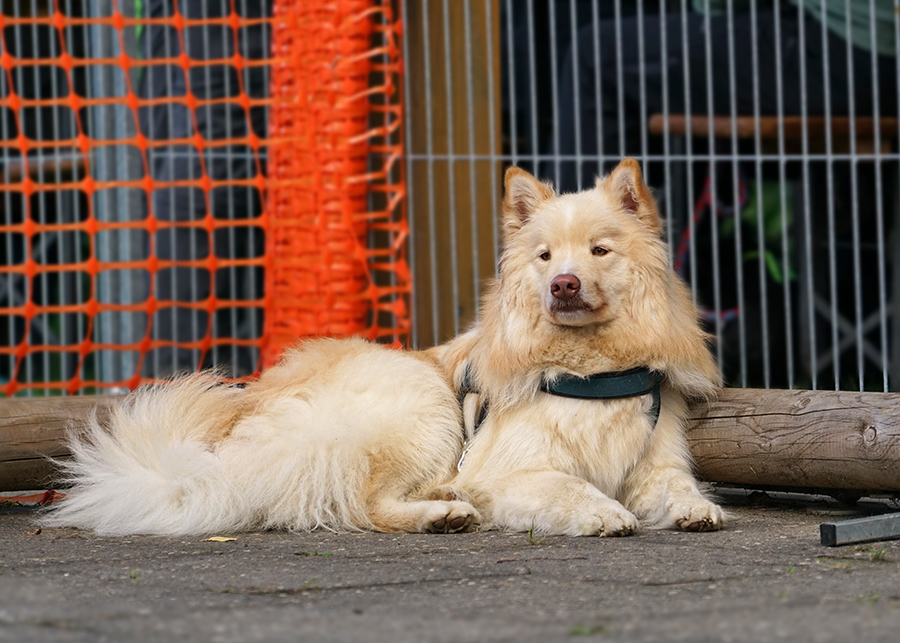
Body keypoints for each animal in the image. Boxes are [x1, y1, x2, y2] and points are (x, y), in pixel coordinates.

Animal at [47, 160, 724, 540]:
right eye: (545, 256)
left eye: (599, 251)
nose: (563, 284)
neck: (591, 371)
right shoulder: (508, 470)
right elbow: (567, 486)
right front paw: (602, 513)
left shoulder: (656, 463)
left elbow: (677, 487)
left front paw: (695, 509)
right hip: (424, 404)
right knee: (361, 503)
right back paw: (440, 515)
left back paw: (443, 502)